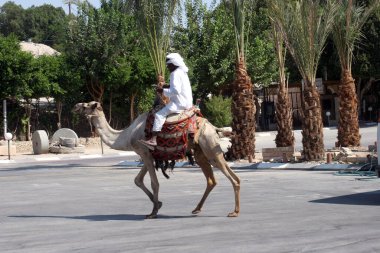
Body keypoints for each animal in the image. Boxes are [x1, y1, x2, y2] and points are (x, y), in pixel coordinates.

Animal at [73, 102, 240, 218]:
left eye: (87, 105)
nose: (75, 106)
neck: (127, 135)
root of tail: (213, 128)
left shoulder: (144, 152)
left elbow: (154, 183)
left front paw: (153, 212)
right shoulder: (148, 155)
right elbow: (137, 180)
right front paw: (158, 204)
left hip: (210, 148)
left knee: (232, 178)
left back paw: (234, 212)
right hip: (202, 153)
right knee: (214, 179)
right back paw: (197, 209)